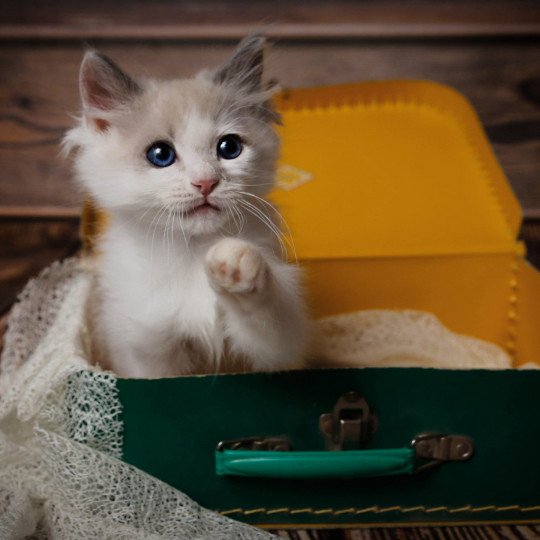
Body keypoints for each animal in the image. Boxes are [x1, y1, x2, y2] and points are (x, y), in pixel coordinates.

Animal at [64, 35, 308, 378]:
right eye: (160, 155)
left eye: (229, 148)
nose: (205, 182)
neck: (192, 252)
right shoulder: (147, 352)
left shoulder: (279, 352)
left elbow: (269, 318)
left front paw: (236, 263)